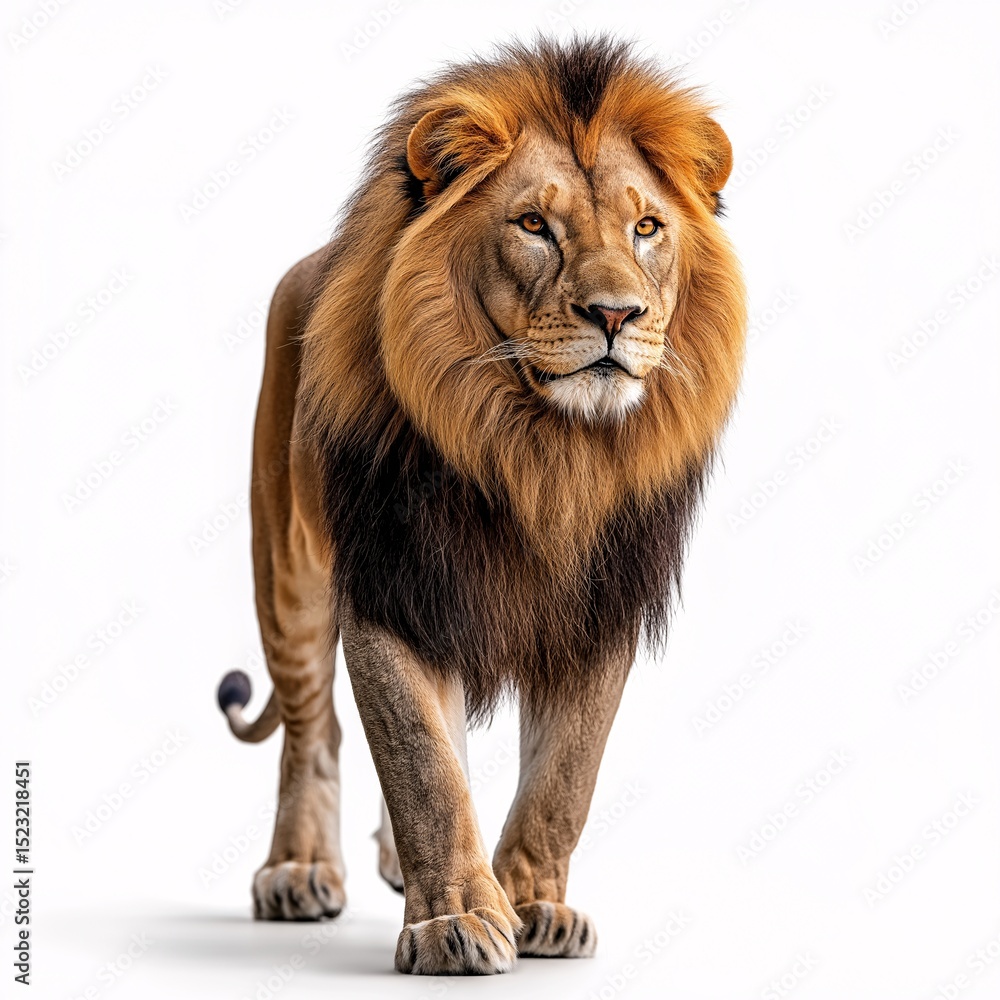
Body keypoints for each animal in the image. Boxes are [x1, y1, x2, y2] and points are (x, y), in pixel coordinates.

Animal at [215, 36, 746, 975]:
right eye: (534, 226)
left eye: (647, 228)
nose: (617, 314)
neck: (541, 452)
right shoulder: (390, 583)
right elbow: (423, 762)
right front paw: (457, 920)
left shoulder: (597, 610)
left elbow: (564, 778)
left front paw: (534, 905)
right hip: (289, 570)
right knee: (313, 728)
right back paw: (299, 871)